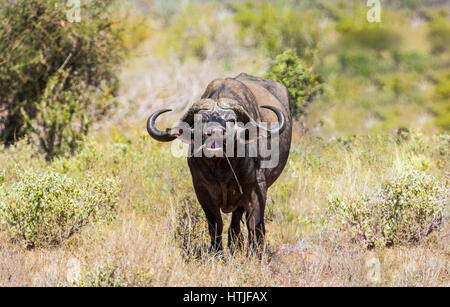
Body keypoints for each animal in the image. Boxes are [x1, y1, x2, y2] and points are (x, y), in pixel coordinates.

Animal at [146, 73, 290, 256]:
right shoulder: (202, 191)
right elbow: (215, 224)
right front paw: (217, 252)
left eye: (231, 120)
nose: (214, 133)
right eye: (200, 120)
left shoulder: (257, 189)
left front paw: (256, 253)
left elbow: (255, 224)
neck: (223, 169)